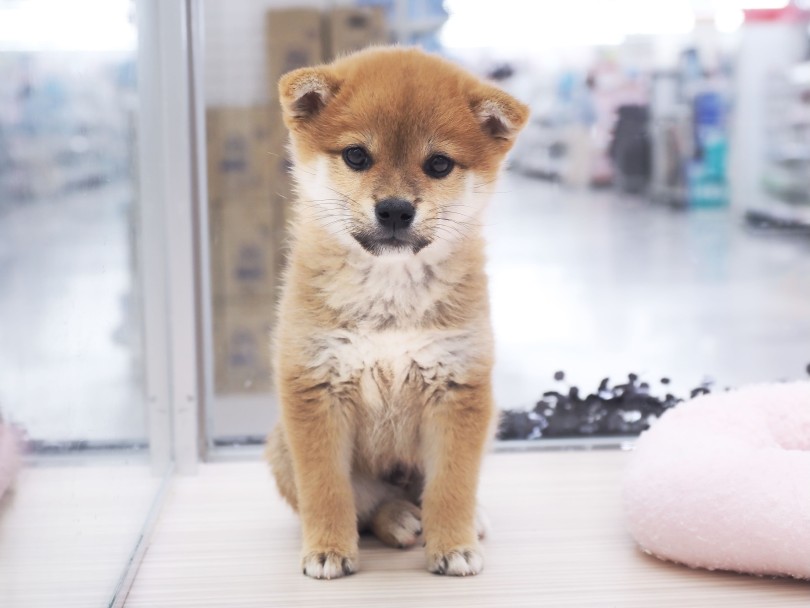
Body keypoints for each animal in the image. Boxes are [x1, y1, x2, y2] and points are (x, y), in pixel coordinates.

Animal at [266, 46, 532, 580]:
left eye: (439, 163)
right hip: (282, 446)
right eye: (356, 156)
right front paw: (327, 549)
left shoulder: (458, 390)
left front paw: (453, 544)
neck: (389, 298)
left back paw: (465, 519)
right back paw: (399, 519)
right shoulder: (315, 390)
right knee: (371, 504)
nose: (393, 209)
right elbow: (327, 489)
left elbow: (452, 484)